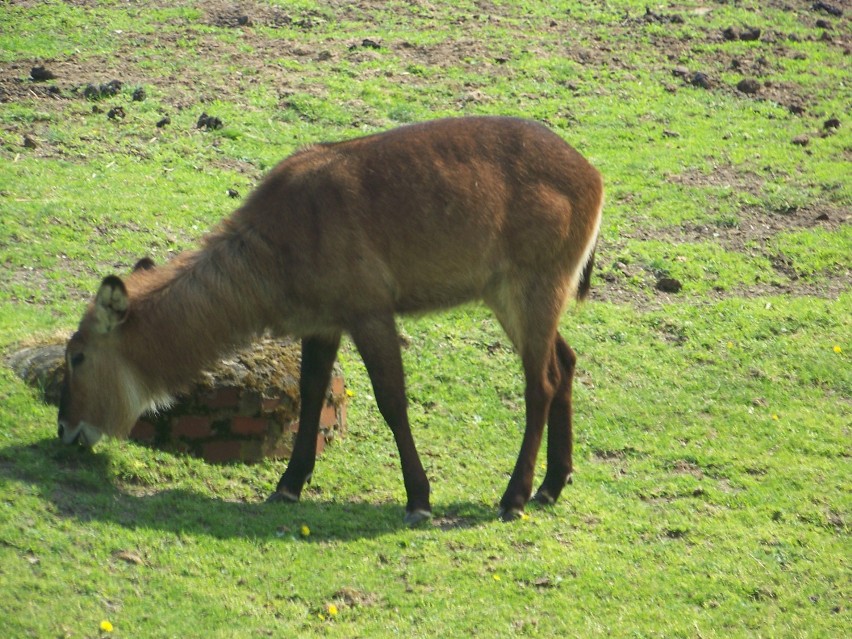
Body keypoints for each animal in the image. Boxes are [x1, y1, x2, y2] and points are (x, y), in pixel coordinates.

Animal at [58, 116, 600, 524]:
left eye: (77, 355)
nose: (65, 430)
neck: (279, 235)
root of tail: (592, 173)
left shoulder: (370, 314)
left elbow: (391, 402)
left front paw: (419, 500)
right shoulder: (322, 324)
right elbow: (312, 392)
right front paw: (287, 487)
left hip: (529, 292)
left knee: (541, 384)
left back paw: (514, 498)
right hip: (518, 300)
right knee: (566, 364)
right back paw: (551, 486)